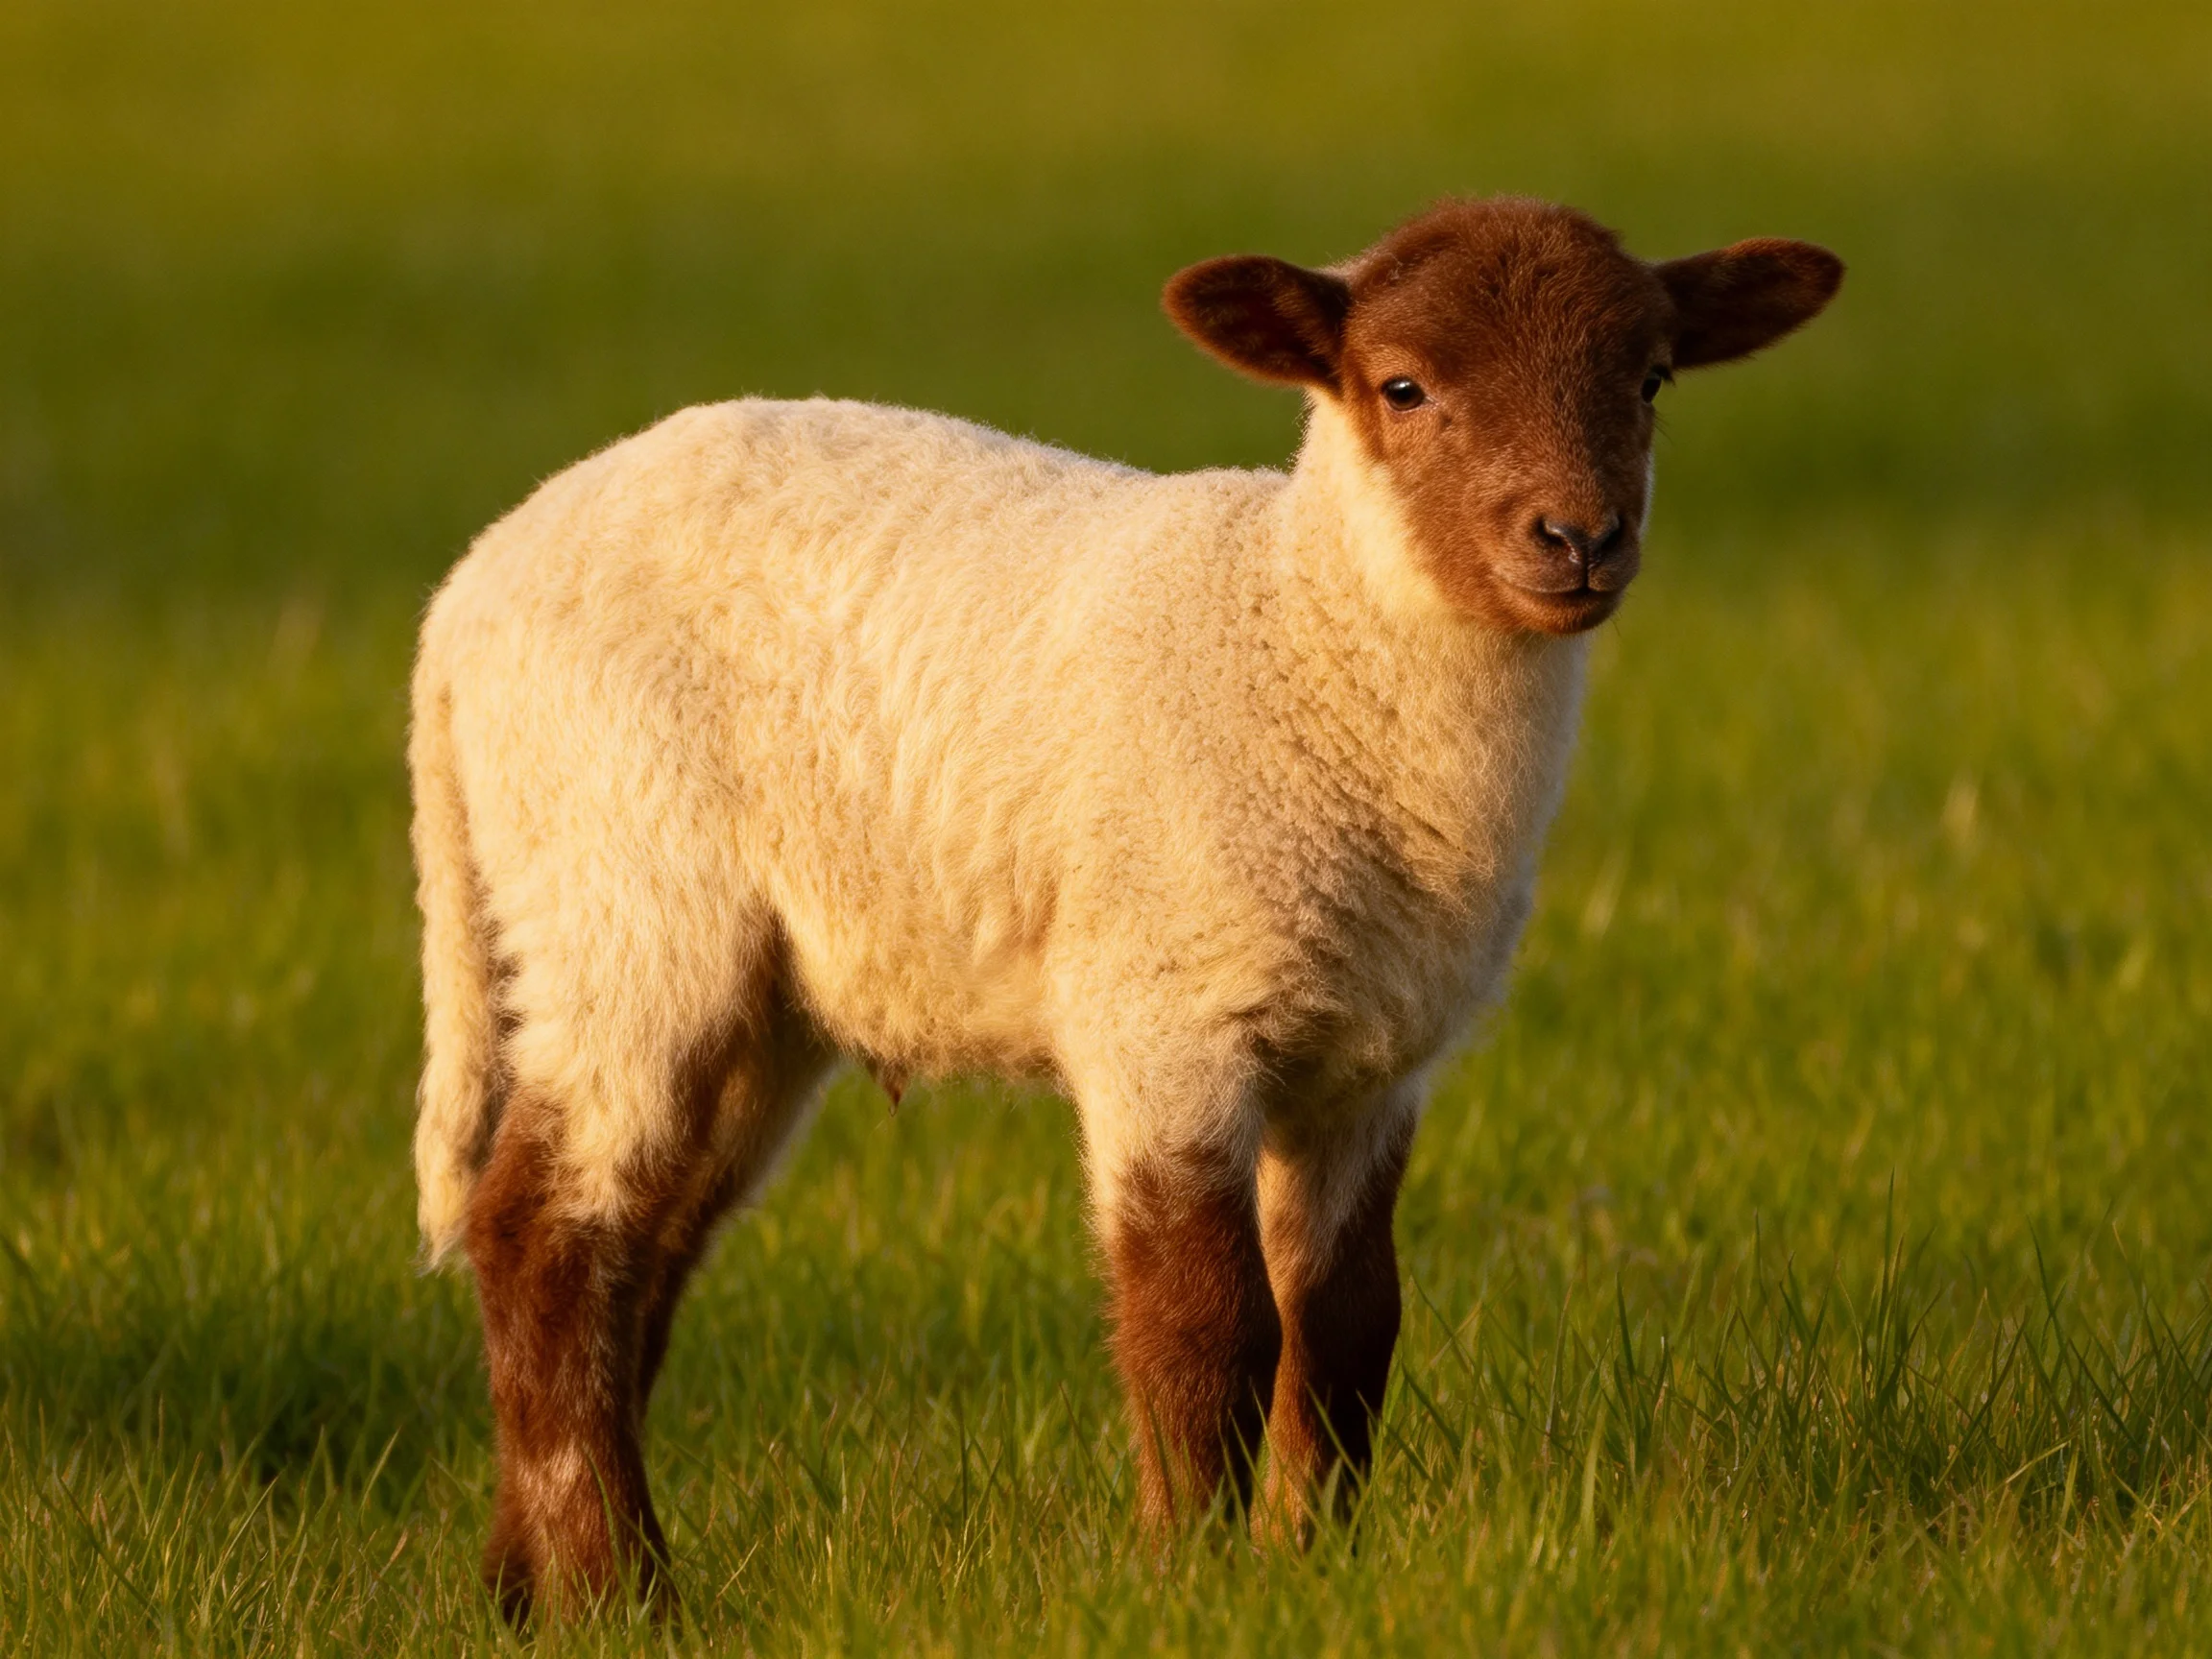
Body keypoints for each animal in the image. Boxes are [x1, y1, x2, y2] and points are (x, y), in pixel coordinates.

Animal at [408, 195, 1842, 1617]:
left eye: (1650, 378)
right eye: (1404, 385)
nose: (1580, 539)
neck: (1307, 637)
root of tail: (467, 592)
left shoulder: (1372, 1064)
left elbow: (1346, 1320)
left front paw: (1310, 1563)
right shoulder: (1165, 1009)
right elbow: (1202, 1318)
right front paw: (1188, 1574)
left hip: (752, 992)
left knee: (641, 1252)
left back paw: (524, 1589)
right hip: (623, 888)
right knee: (544, 1232)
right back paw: (619, 1590)